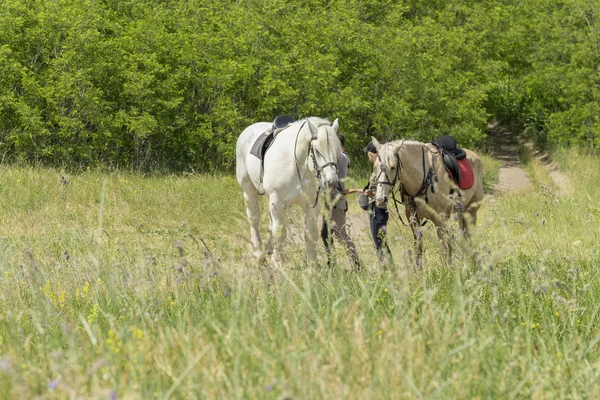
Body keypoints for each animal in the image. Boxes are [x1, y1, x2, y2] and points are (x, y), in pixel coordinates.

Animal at [238, 115, 342, 266]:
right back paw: (258, 253)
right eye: (316, 150)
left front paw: (313, 266)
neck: (298, 164)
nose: (332, 182)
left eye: (337, 151)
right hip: (249, 190)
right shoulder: (277, 202)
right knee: (254, 219)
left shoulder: (312, 206)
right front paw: (277, 263)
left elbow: (310, 234)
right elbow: (279, 232)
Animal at [372, 136, 486, 264]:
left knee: (469, 235)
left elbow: (444, 248)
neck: (423, 178)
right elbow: (418, 248)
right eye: (375, 167)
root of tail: (475, 156)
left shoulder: (440, 220)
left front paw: (447, 268)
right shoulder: (414, 220)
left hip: (472, 211)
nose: (380, 199)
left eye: (392, 167)